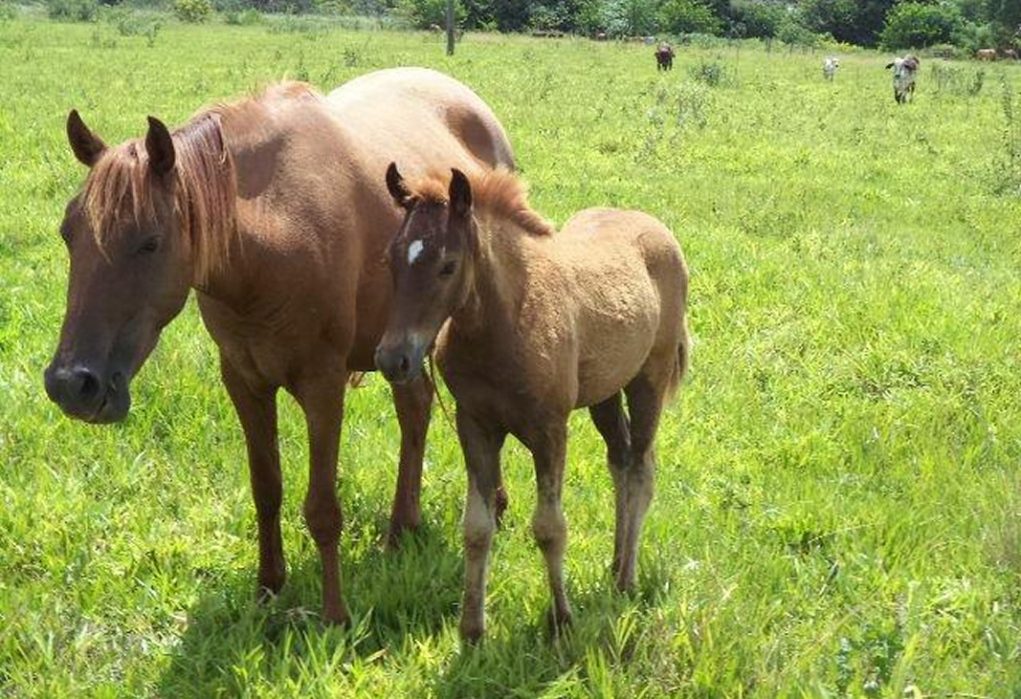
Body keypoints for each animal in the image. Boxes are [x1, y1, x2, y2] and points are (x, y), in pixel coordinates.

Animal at [43, 68, 514, 624]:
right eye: (68, 234)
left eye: (150, 241)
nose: (72, 384)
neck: (274, 232)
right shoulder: (244, 381)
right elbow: (266, 490)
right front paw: (268, 588)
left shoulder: (323, 384)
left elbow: (322, 508)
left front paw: (334, 615)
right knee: (415, 412)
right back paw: (403, 528)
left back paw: (491, 505)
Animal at [371, 166, 690, 640]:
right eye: (391, 260)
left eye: (448, 266)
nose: (394, 359)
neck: (504, 323)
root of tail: (656, 226)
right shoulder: (475, 424)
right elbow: (477, 528)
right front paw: (472, 630)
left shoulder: (550, 429)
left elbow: (550, 527)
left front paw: (561, 621)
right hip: (605, 392)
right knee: (620, 459)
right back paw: (615, 563)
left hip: (648, 378)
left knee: (641, 469)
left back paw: (627, 579)